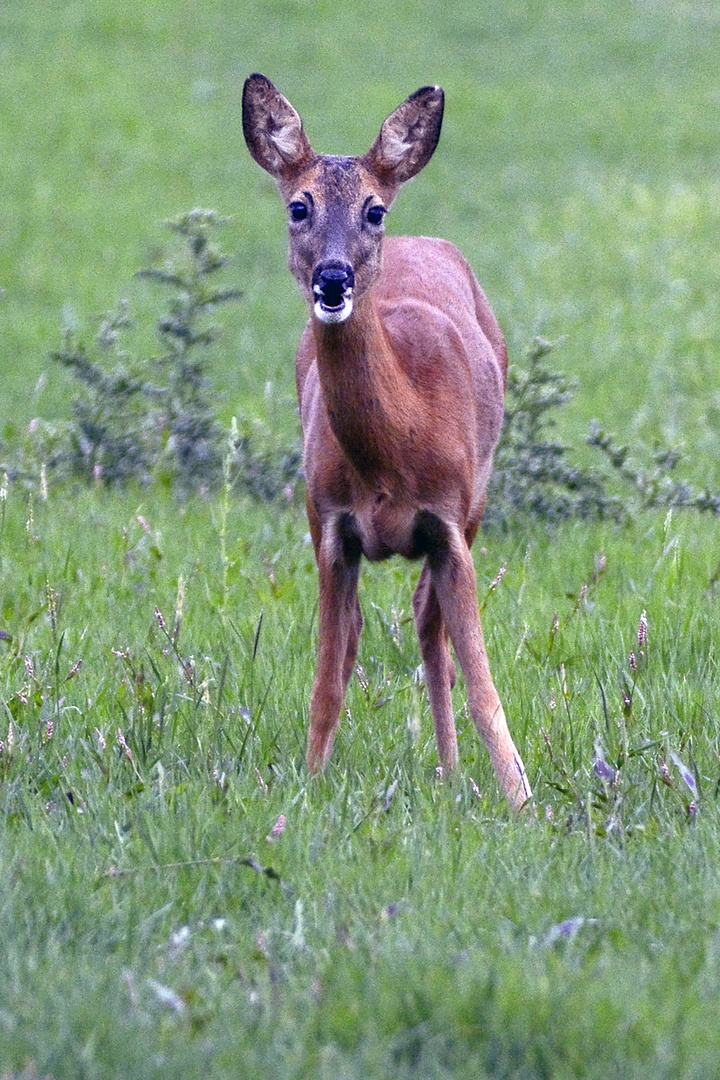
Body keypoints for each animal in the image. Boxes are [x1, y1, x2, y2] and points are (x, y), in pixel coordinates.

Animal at [245, 73, 533, 812]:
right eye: (298, 206)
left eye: (373, 210)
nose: (333, 278)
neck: (391, 455)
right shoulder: (330, 530)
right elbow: (326, 679)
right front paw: (310, 787)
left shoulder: (451, 524)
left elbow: (482, 682)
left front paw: (522, 801)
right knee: (358, 639)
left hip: (478, 503)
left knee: (430, 631)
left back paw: (452, 774)